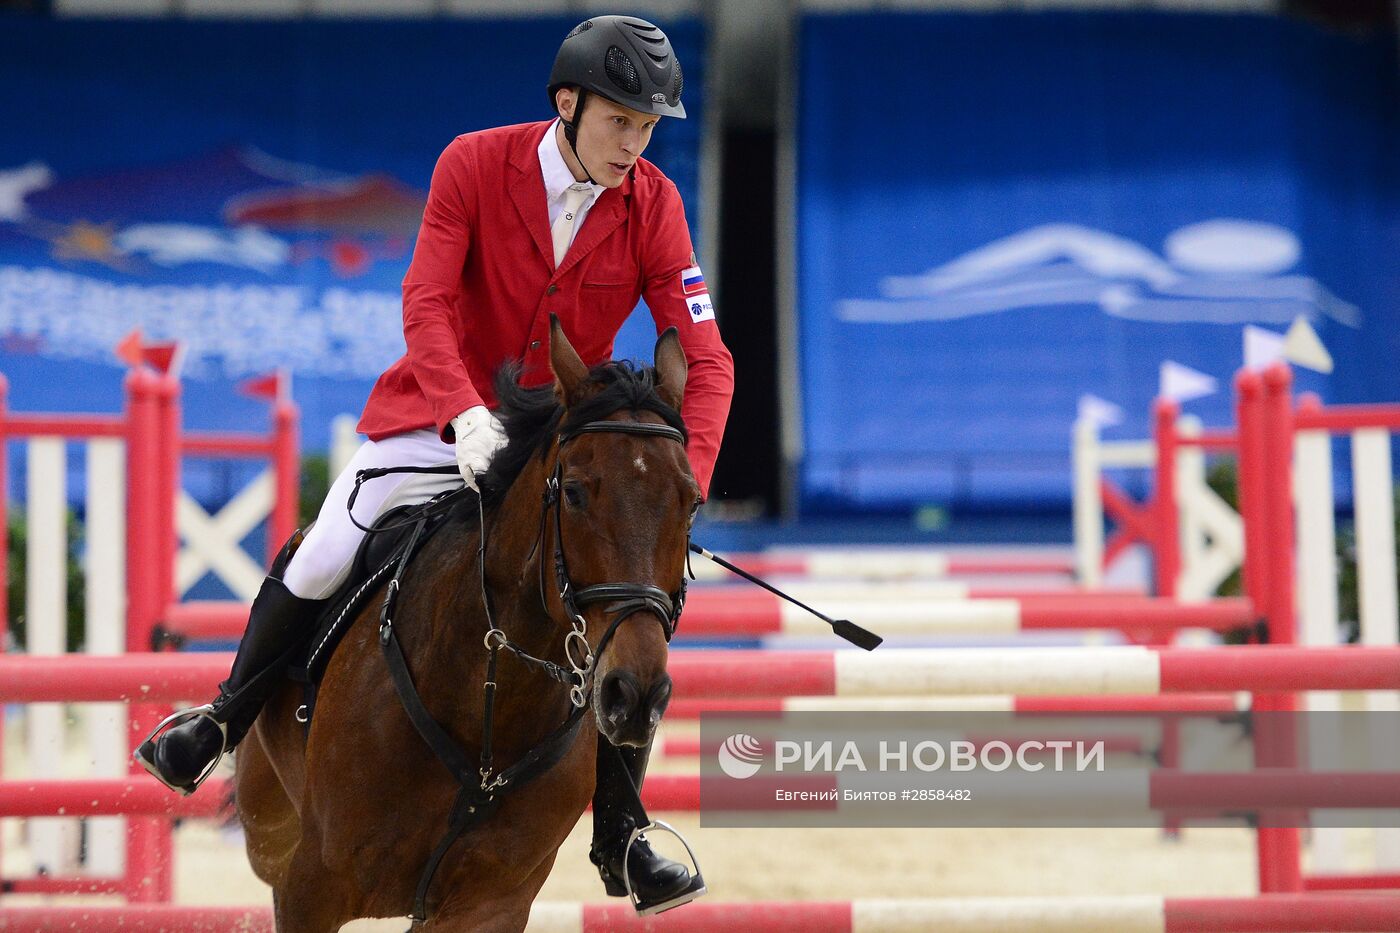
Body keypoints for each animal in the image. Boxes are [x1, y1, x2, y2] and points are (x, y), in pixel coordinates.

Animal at [235, 316, 705, 924]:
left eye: (691, 503)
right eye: (575, 494)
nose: (637, 694)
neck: (489, 706)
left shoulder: (489, 905)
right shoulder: (313, 885)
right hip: (269, 832)